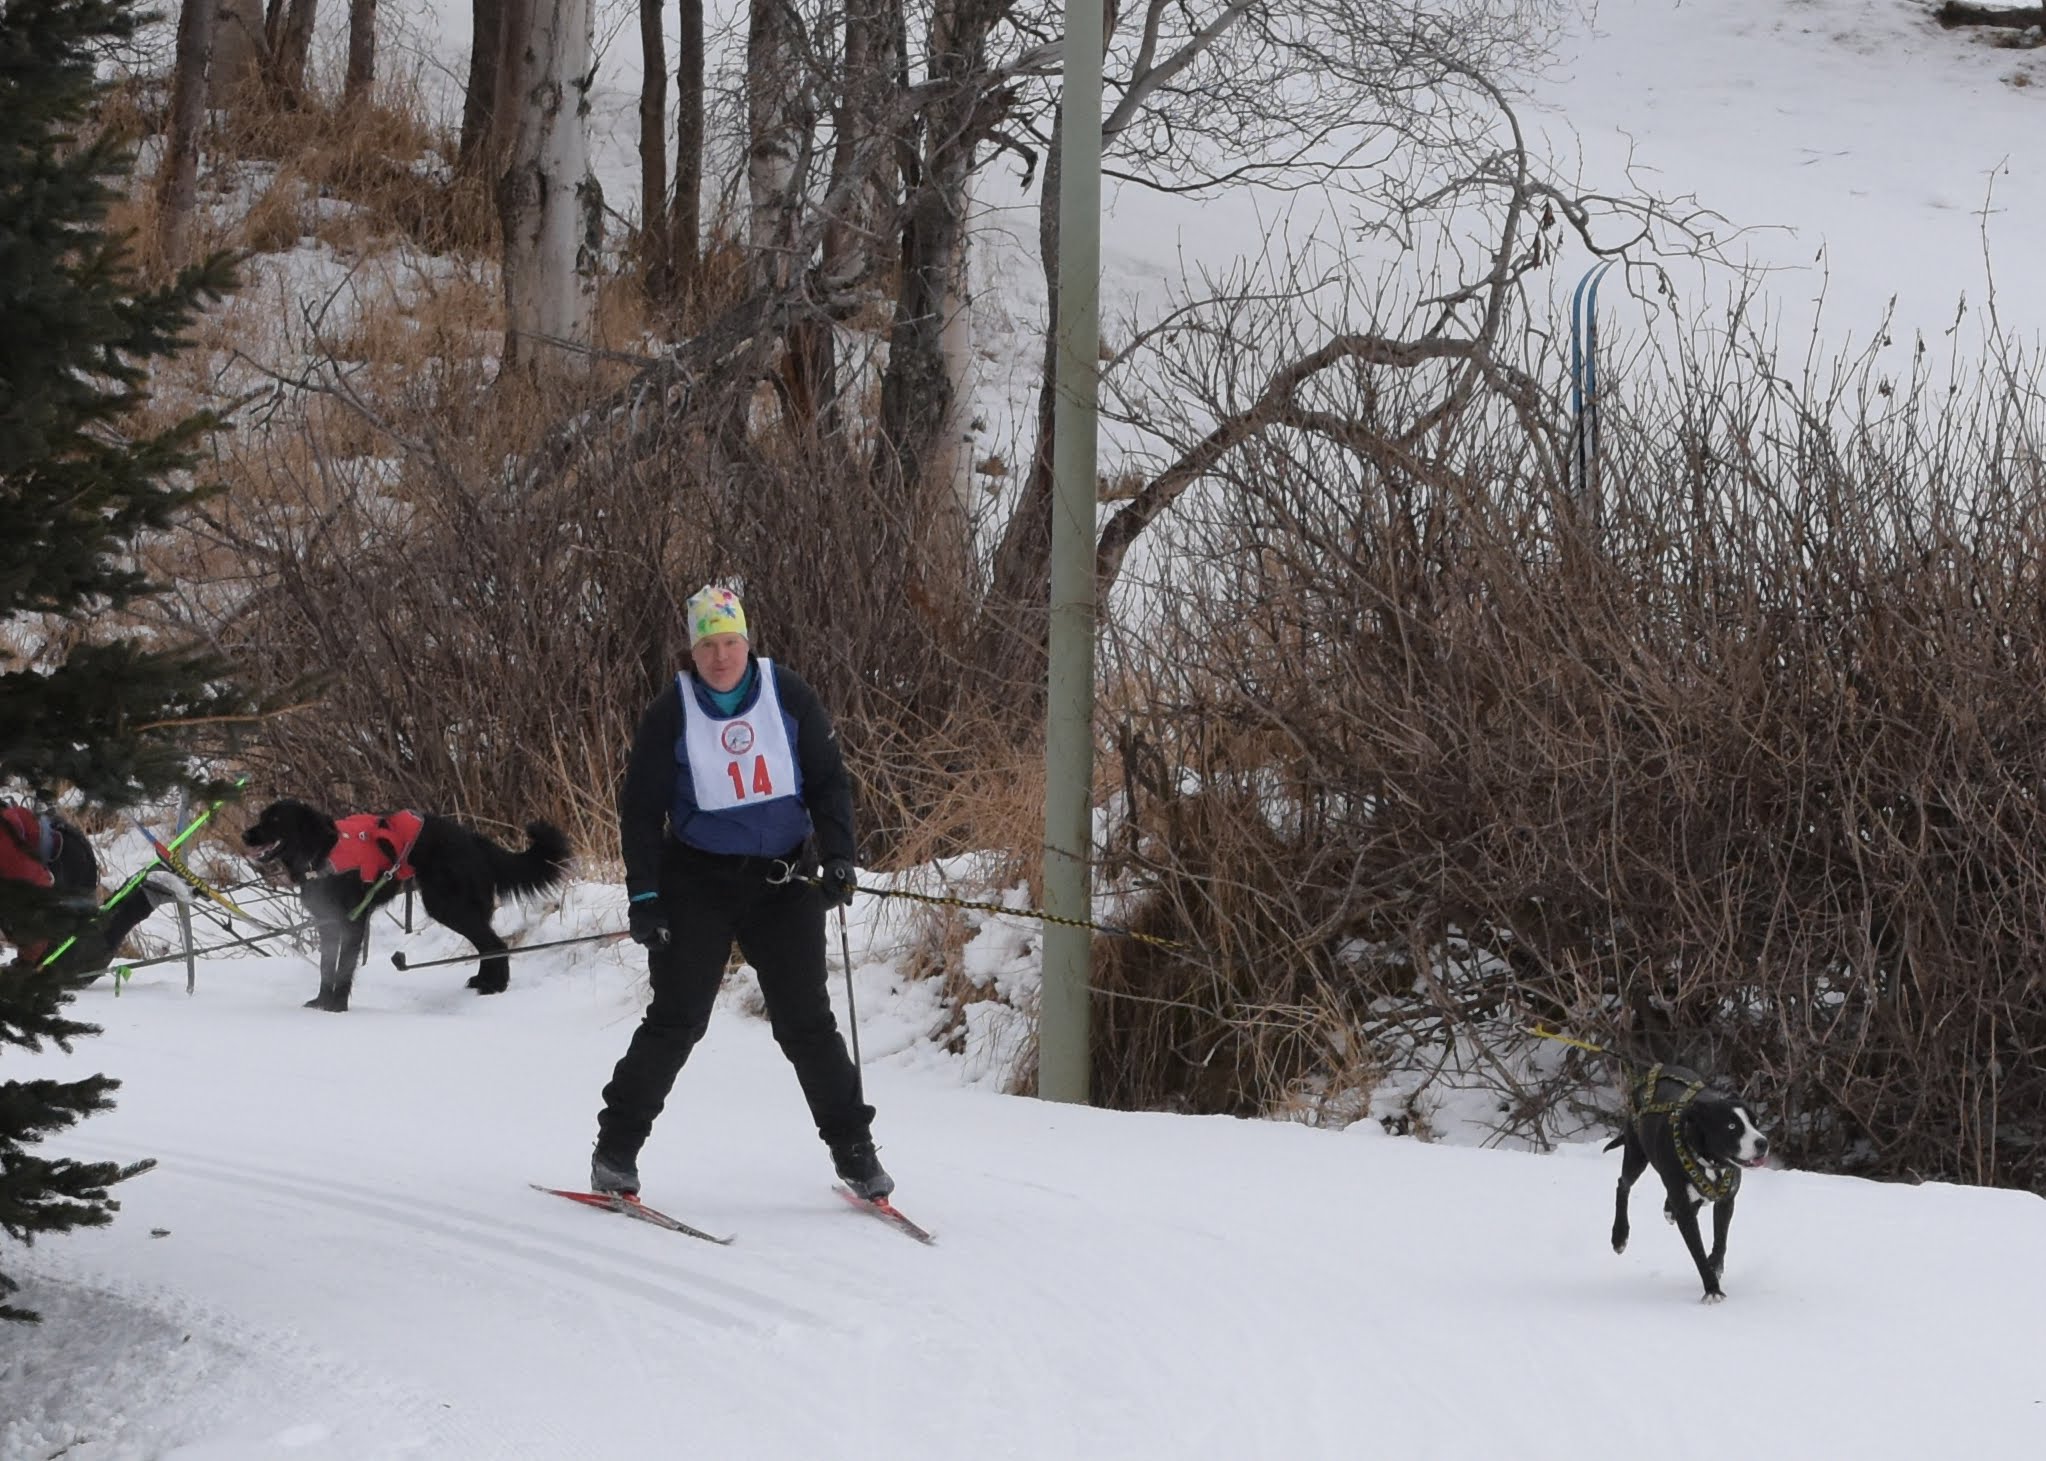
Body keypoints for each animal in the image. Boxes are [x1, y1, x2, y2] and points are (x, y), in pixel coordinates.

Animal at [243, 798, 572, 1014]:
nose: (245, 834)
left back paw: (496, 987)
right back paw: (484, 982)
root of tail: (473, 839)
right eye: (261, 816)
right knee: (487, 943)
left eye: (275, 821)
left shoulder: (353, 921)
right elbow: (326, 967)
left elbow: (343, 967)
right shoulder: (328, 922)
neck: (320, 854)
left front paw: (336, 1007)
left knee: (495, 943)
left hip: (446, 904)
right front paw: (321, 1004)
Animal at [1604, 1055, 1767, 1301]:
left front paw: (1715, 1265)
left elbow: (1721, 1240)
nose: (1762, 1143)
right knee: (1622, 1185)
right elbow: (1697, 1250)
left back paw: (1669, 1209)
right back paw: (1619, 1235)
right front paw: (1712, 1289)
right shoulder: (1686, 1212)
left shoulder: (1726, 1200)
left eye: (1755, 1122)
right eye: (1731, 1126)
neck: (1710, 1161)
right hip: (1635, 1154)